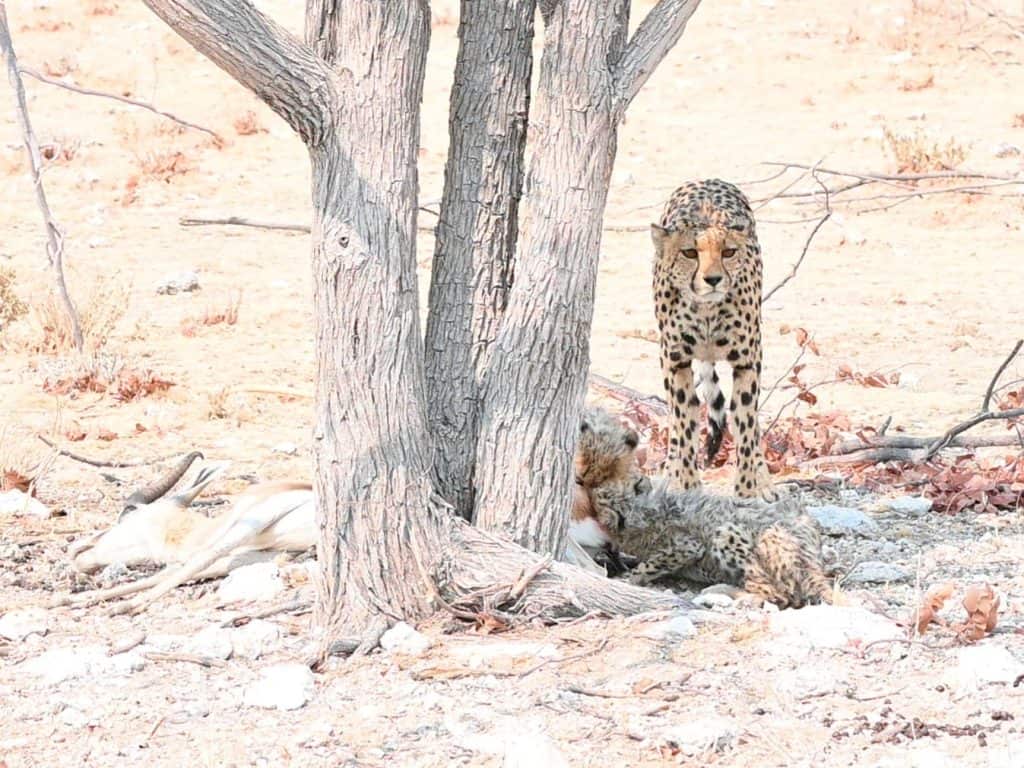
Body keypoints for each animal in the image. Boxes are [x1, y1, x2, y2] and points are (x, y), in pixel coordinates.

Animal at [651, 178, 774, 500]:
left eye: (728, 252)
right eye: (690, 253)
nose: (714, 279)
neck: (706, 311)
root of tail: (706, 180)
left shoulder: (747, 362)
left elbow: (746, 423)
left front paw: (746, 490)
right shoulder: (676, 361)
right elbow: (684, 423)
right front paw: (689, 487)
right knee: (678, 423)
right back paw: (669, 474)